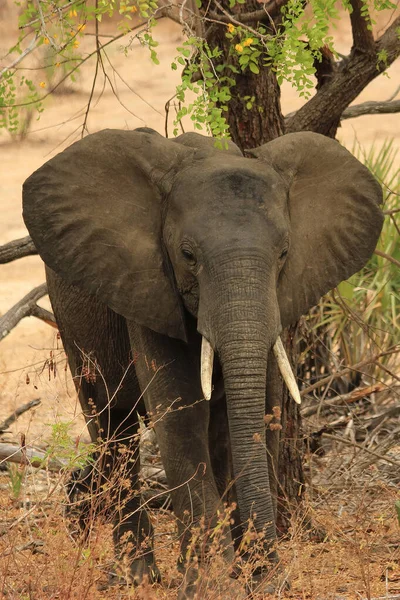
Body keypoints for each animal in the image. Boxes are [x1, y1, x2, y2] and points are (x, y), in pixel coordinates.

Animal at [22, 126, 384, 596]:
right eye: (188, 256)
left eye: (284, 254)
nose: (266, 576)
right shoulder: (150, 287)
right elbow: (181, 415)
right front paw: (215, 587)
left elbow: (260, 410)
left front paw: (259, 579)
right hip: (72, 318)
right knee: (113, 423)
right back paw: (135, 576)